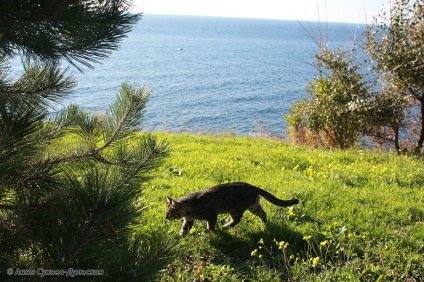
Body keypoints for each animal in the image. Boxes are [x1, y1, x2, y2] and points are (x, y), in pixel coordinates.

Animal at [166, 181, 298, 236]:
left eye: (169, 213)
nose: (165, 218)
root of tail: (252, 186)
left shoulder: (212, 215)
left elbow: (210, 226)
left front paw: (212, 231)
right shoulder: (188, 220)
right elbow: (184, 229)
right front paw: (180, 237)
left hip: (236, 209)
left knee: (236, 220)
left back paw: (225, 227)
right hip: (254, 206)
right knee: (263, 214)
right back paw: (265, 224)